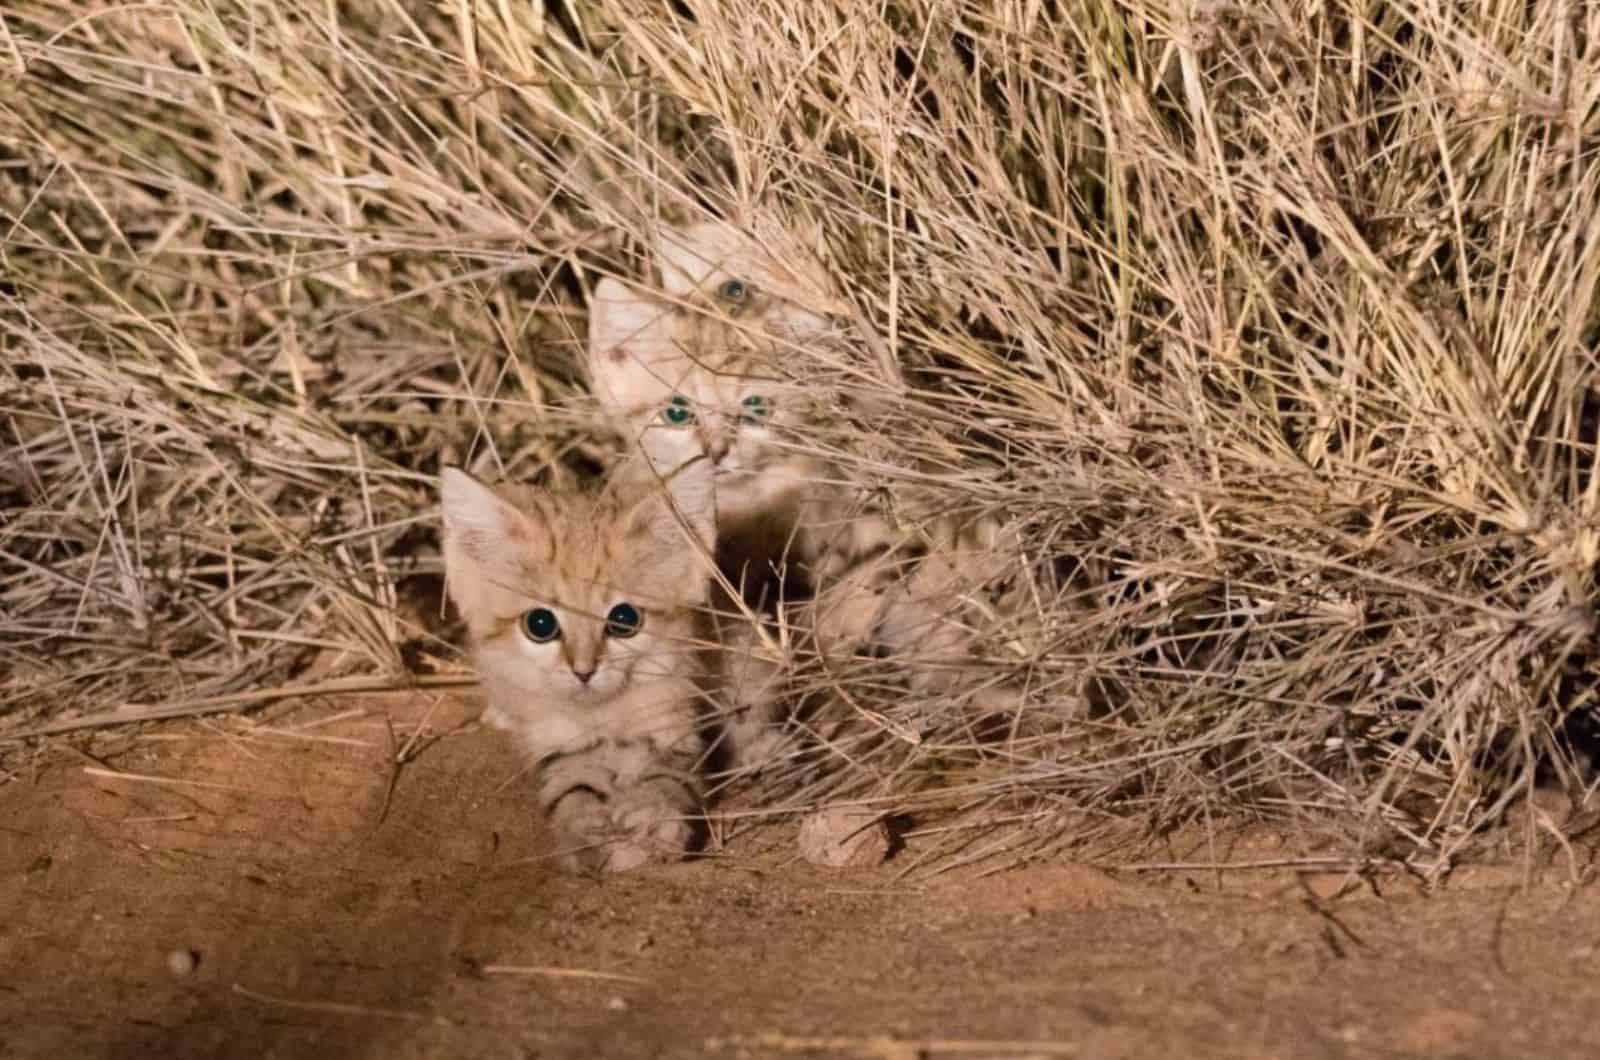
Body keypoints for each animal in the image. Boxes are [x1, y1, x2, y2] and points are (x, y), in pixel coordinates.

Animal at [438, 464, 713, 871]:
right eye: (539, 624)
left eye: (624, 619)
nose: (584, 671)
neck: (603, 715)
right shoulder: (555, 746)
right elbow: (570, 786)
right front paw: (586, 831)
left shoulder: (674, 725)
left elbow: (667, 776)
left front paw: (652, 816)